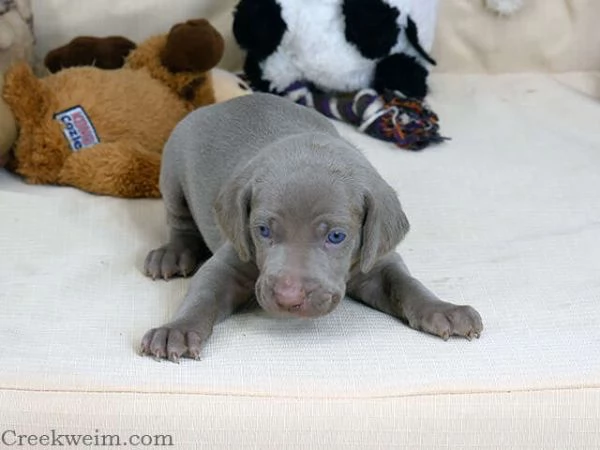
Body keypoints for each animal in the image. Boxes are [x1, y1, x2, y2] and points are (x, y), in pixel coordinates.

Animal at [141, 93, 482, 360]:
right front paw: (177, 329)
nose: (288, 297)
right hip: (171, 171)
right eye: (263, 231)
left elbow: (406, 284)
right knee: (179, 221)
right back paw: (172, 254)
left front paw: (443, 309)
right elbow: (203, 294)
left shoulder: (376, 261)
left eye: (337, 236)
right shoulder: (233, 256)